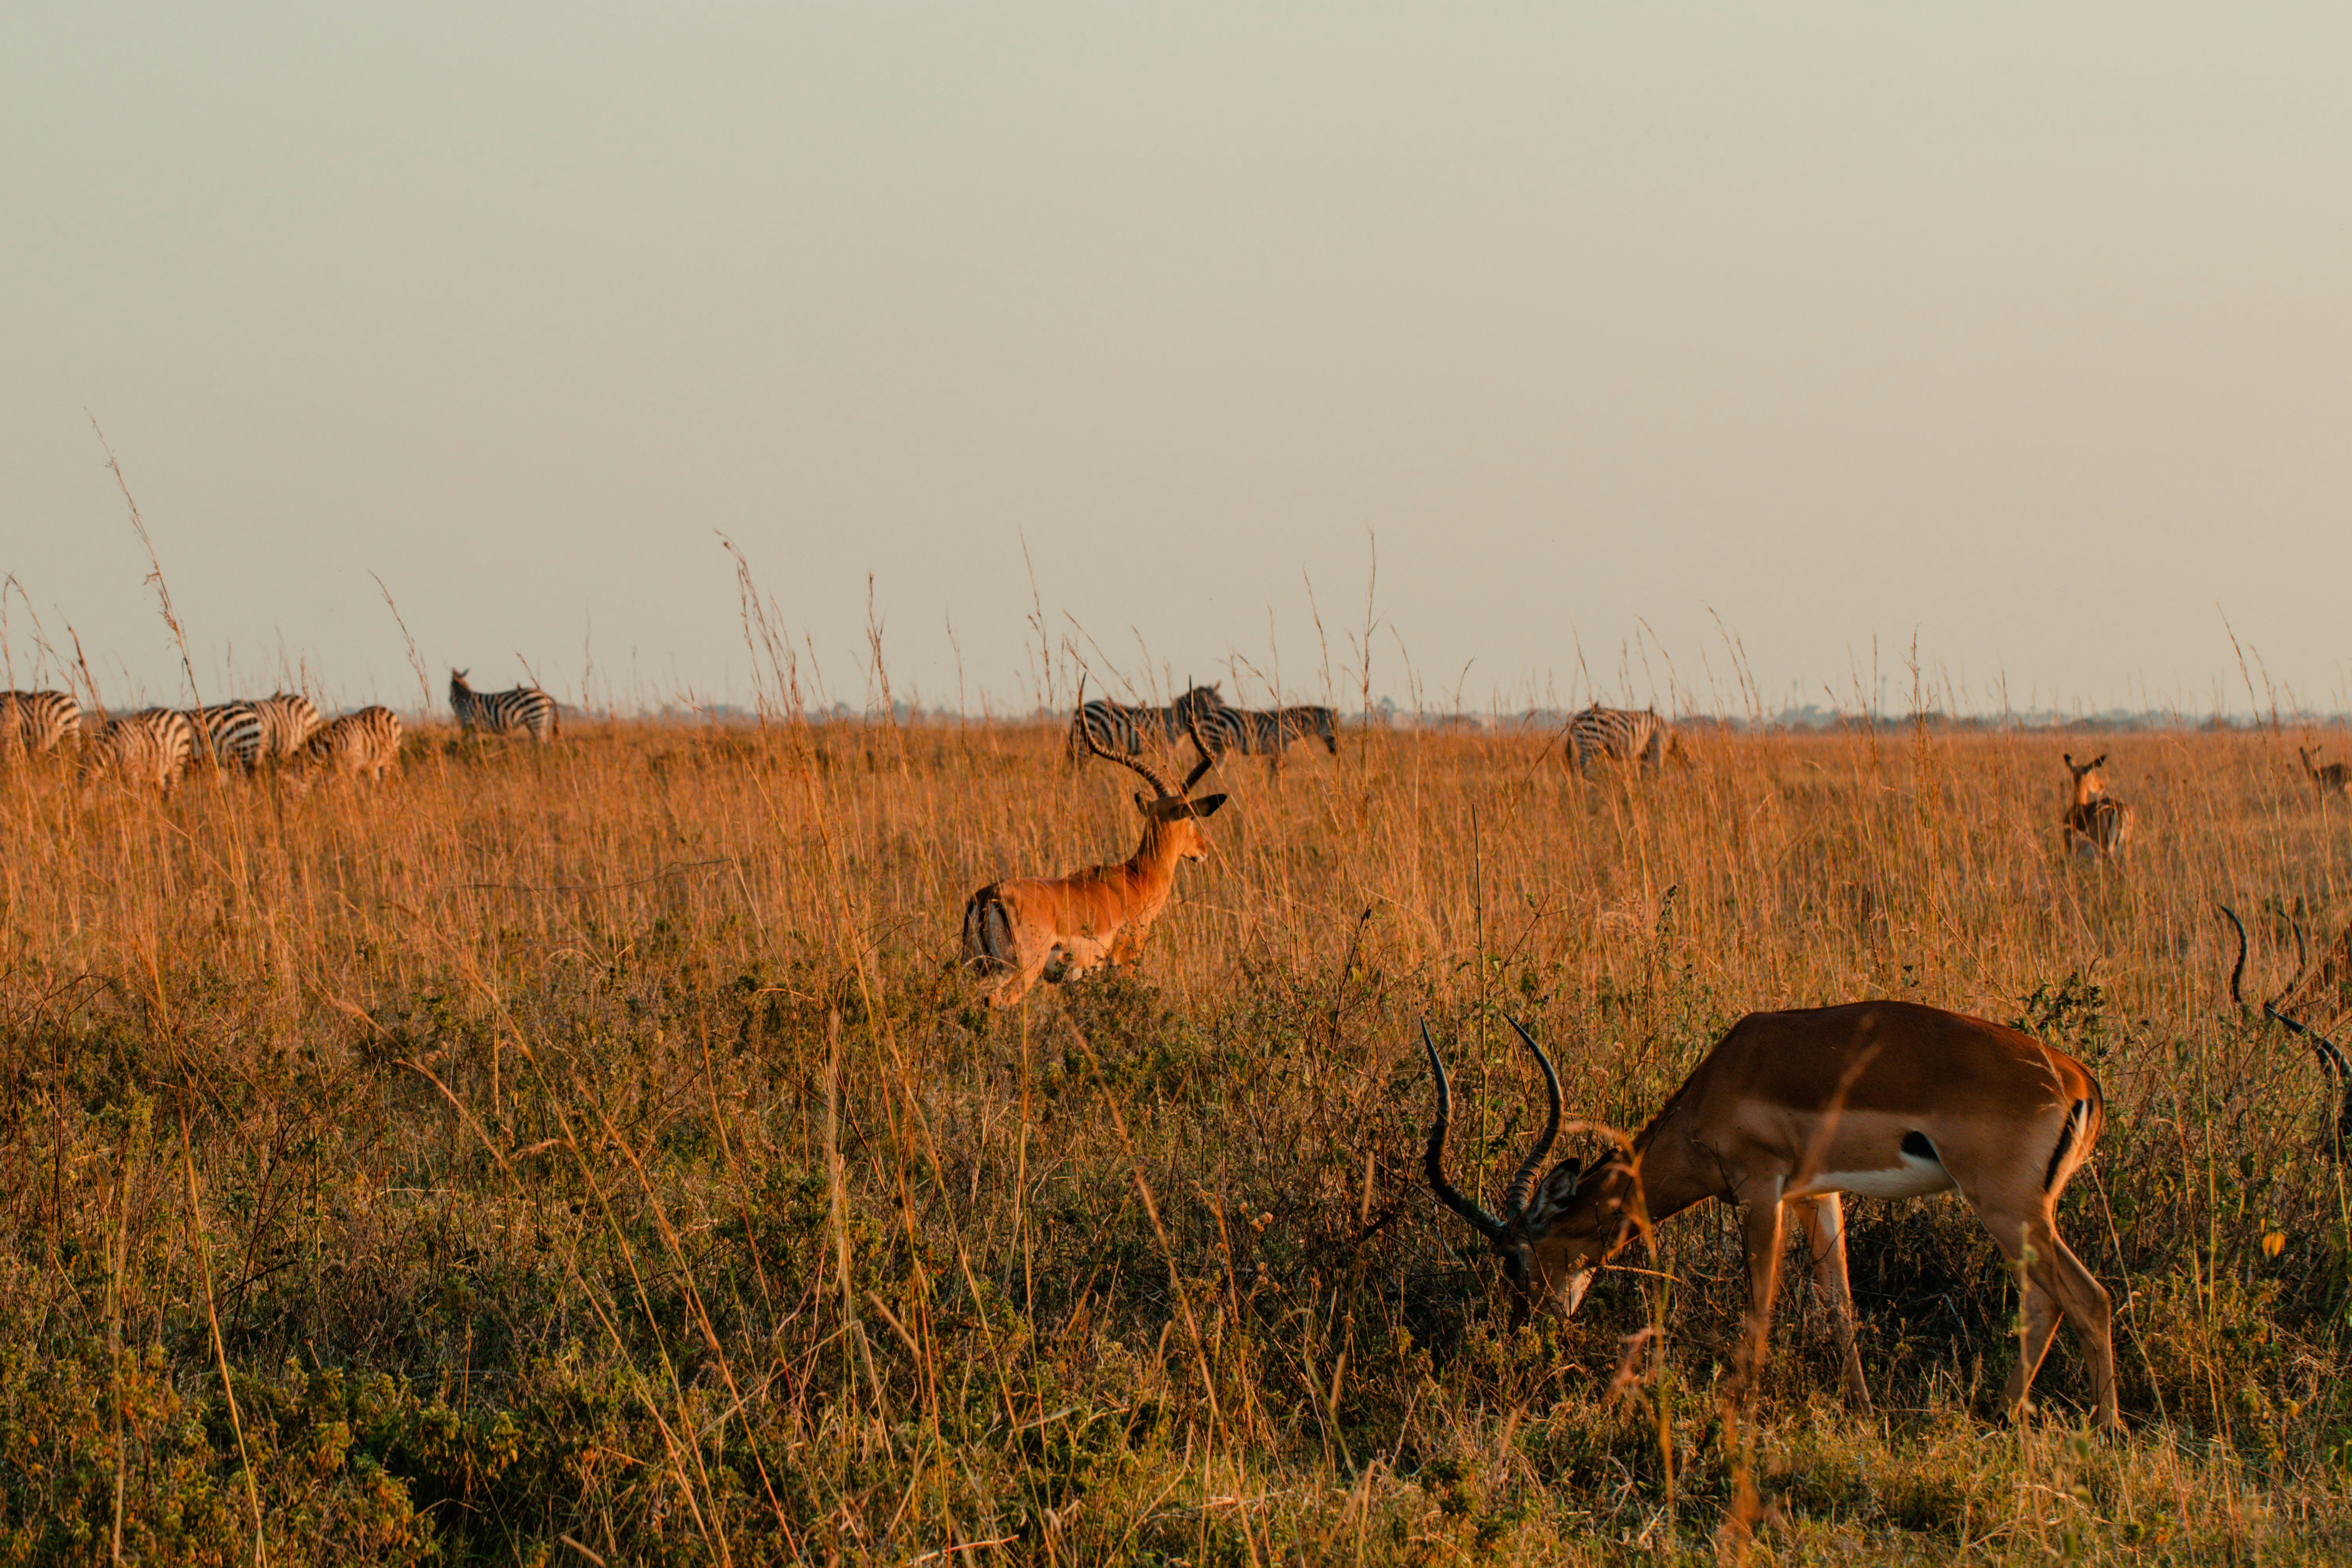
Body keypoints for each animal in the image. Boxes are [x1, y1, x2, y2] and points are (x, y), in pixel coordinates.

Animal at [961, 681, 1227, 1008]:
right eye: (1191, 818)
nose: (1203, 851)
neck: (1137, 879)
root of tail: (990, 896)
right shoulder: (1124, 963)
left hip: (978, 969)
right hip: (1020, 973)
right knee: (993, 1002)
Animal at [1423, 1006, 2119, 1430]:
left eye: (1515, 1256)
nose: (1524, 1326)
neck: (1721, 1081)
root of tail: (2079, 1079)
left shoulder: (1760, 1191)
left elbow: (1759, 1305)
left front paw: (1737, 1414)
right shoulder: (1816, 1196)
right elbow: (1838, 1305)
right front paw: (1862, 1412)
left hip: (2006, 1207)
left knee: (2088, 1298)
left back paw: (2104, 1431)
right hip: (2020, 1217)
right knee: (2046, 1304)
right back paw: (2002, 1418)